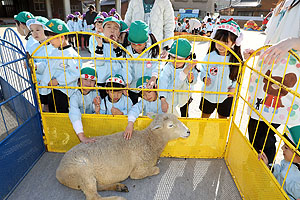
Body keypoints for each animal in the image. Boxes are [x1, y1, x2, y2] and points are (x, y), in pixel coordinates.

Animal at [56, 113, 190, 200]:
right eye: (171, 125)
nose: (188, 131)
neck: (148, 140)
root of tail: (59, 172)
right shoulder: (138, 170)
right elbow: (155, 170)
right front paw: (155, 169)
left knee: (98, 187)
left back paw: (119, 187)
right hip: (82, 171)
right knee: (93, 197)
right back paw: (117, 198)